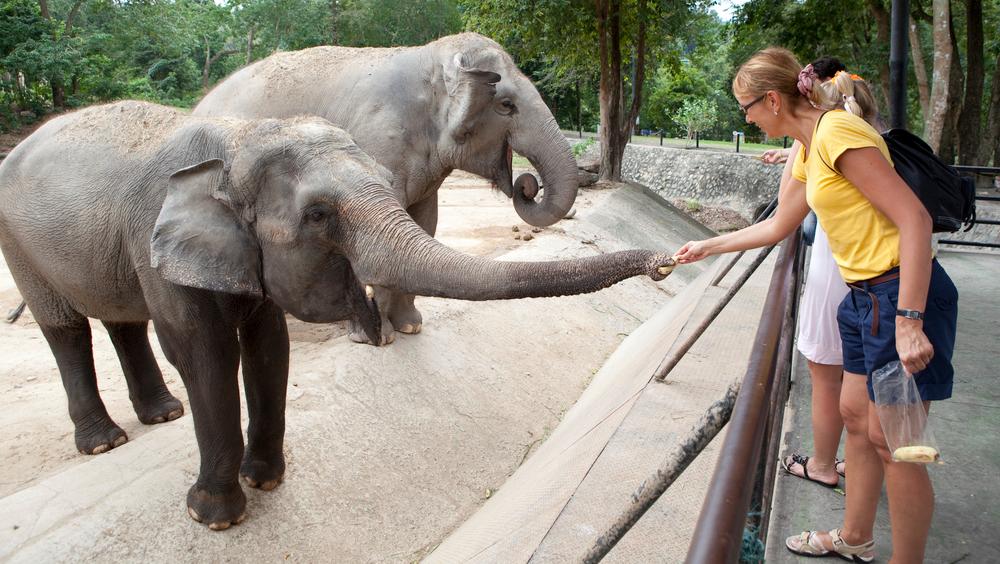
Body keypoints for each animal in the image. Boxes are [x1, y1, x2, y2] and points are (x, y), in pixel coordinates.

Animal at [0, 100, 676, 528]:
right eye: (320, 214)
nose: (668, 262)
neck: (234, 141)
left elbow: (269, 344)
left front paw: (266, 482)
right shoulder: (155, 240)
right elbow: (204, 353)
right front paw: (213, 516)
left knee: (120, 318)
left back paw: (161, 416)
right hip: (20, 245)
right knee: (65, 328)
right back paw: (106, 442)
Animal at [193, 33, 580, 346]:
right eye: (506, 105)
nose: (526, 185)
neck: (429, 57)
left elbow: (425, 222)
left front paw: (411, 327)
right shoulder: (377, 141)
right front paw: (377, 338)